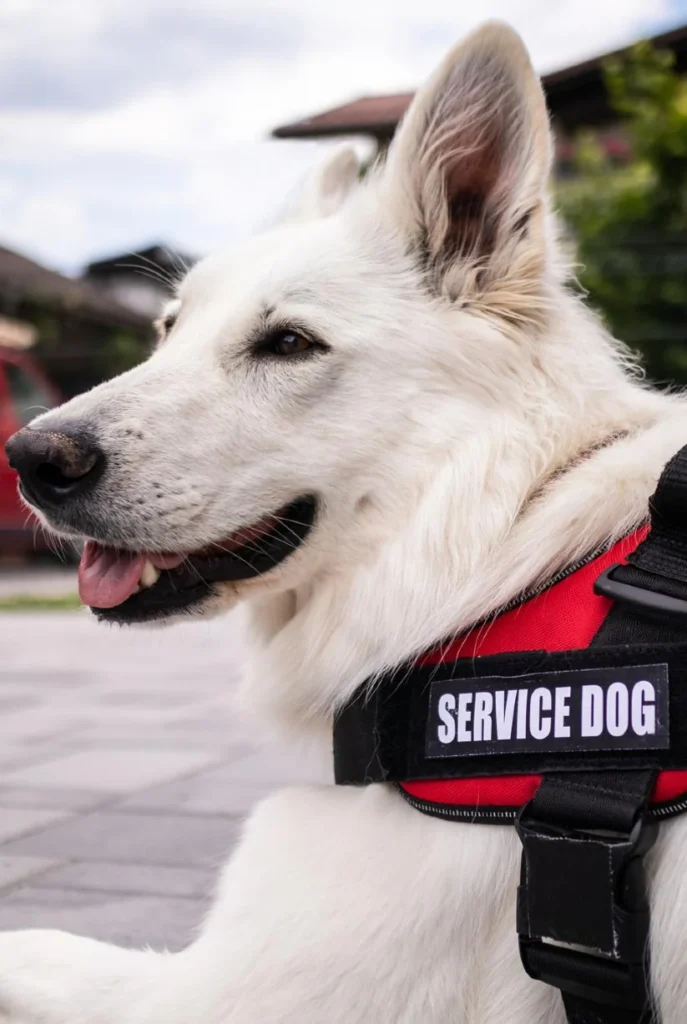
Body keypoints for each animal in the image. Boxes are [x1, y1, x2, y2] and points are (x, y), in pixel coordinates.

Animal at [4, 22, 687, 1024]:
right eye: (169, 331)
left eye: (288, 344)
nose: (31, 457)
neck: (497, 540)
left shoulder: (229, 991)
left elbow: (25, 945)